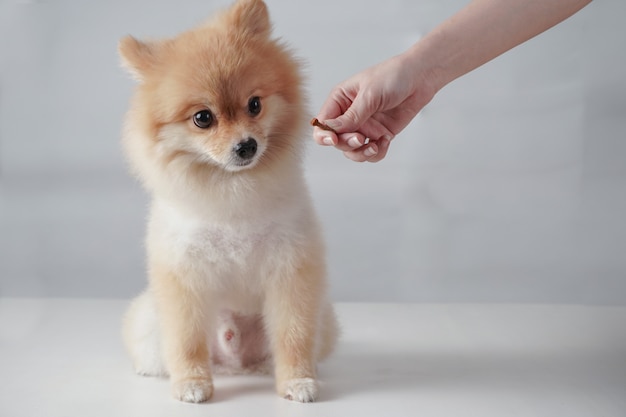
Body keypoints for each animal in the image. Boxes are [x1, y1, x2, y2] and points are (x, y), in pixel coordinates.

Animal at [120, 0, 338, 404]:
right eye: (202, 118)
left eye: (254, 105)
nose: (246, 145)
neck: (232, 191)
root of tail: (234, 363)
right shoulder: (185, 277)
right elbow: (186, 339)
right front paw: (191, 384)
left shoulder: (291, 271)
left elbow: (294, 335)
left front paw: (297, 382)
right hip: (147, 318)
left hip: (325, 317)